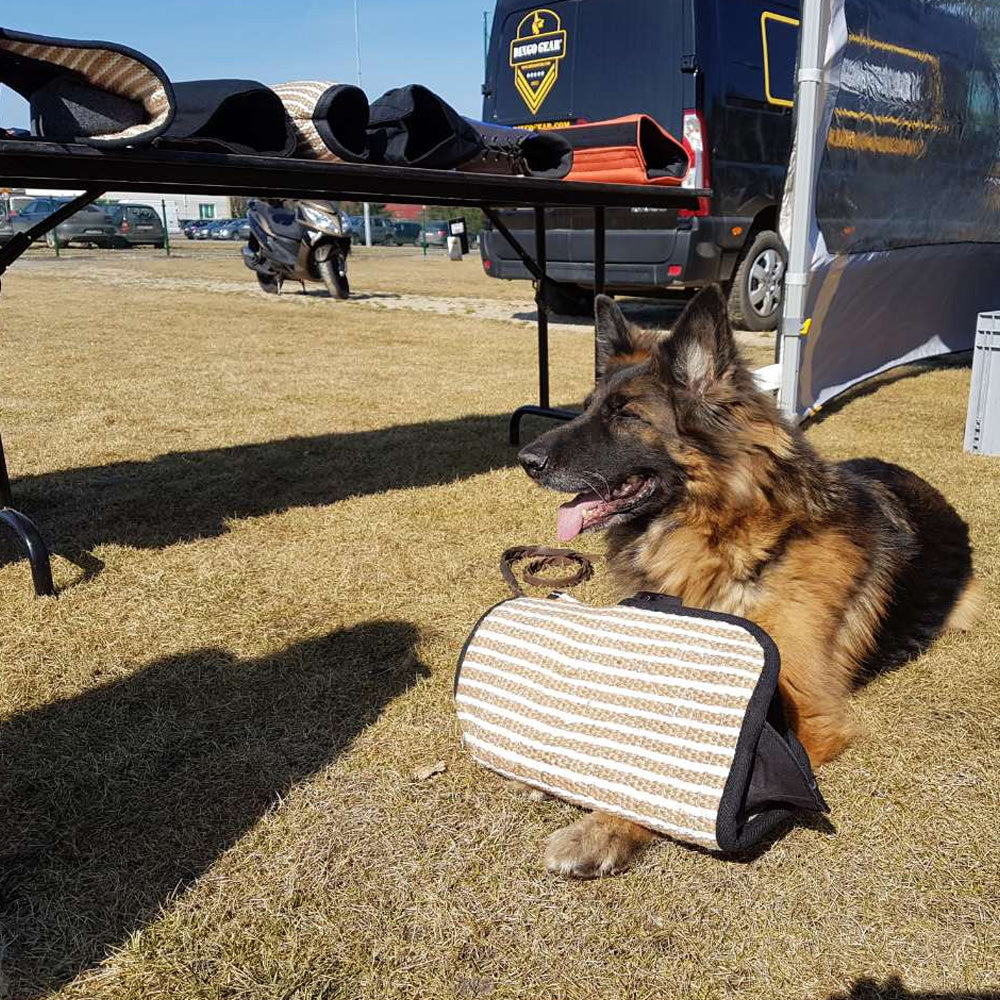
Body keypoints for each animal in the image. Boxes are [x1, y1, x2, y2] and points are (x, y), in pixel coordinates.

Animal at [520, 284, 980, 876]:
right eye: (587, 410)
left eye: (626, 416)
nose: (525, 458)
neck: (735, 548)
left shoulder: (806, 713)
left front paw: (604, 827)